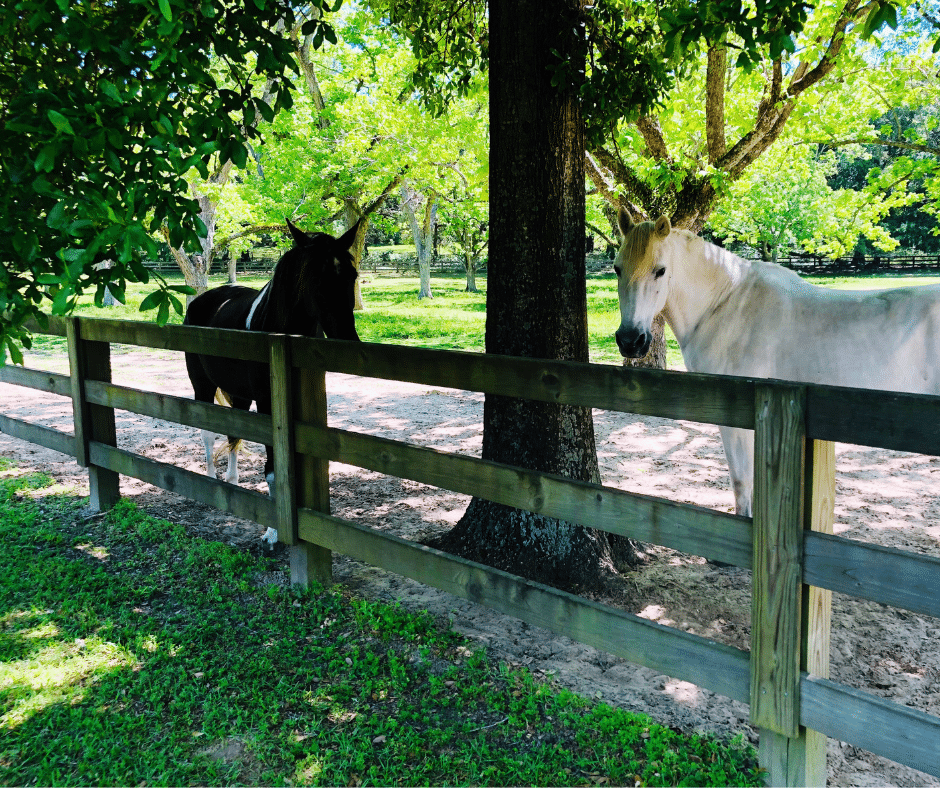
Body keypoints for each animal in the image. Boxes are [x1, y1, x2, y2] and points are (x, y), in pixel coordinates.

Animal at [612, 209, 940, 516]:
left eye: (660, 270)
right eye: (617, 268)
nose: (630, 340)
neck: (726, 305)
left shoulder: (737, 421)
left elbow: (742, 481)